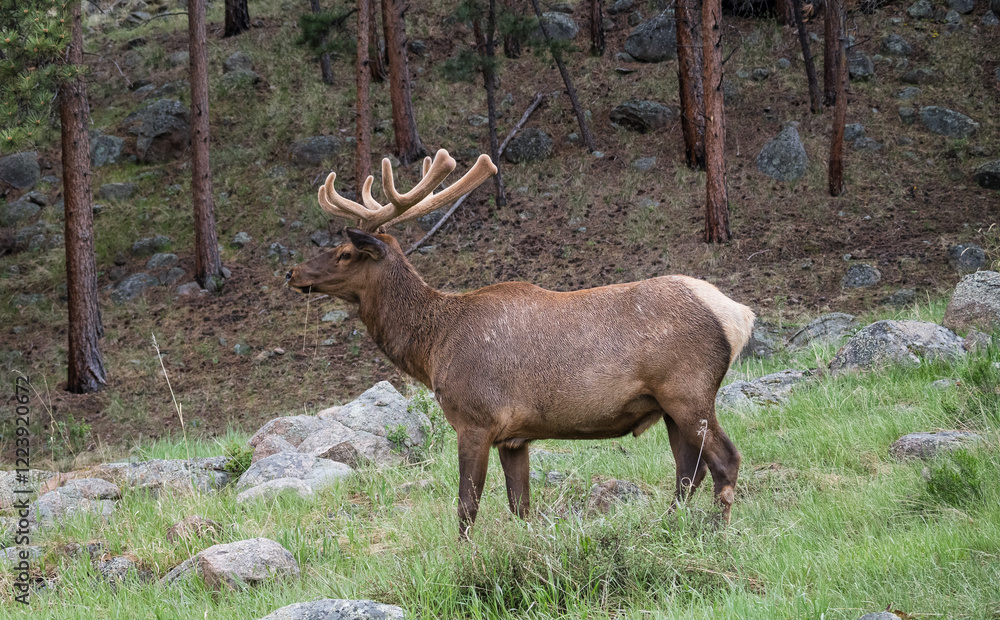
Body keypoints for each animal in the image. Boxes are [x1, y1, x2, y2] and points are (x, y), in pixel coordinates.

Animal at [286, 149, 755, 538]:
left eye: (346, 253)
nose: (293, 273)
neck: (432, 347)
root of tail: (739, 316)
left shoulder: (475, 418)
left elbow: (467, 507)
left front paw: (466, 558)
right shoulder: (515, 437)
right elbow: (521, 508)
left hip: (688, 390)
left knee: (725, 460)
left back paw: (718, 531)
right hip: (669, 406)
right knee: (687, 470)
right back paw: (666, 527)